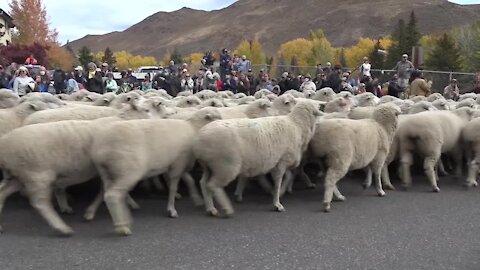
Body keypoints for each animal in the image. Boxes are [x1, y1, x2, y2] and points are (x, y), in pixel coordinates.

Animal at [91, 106, 222, 235]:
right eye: (217, 118)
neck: (193, 128)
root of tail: (101, 149)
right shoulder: (178, 163)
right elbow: (173, 187)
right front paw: (171, 210)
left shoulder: (177, 164)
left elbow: (189, 181)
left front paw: (196, 199)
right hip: (127, 170)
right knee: (113, 195)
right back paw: (122, 227)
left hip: (107, 172)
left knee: (108, 193)